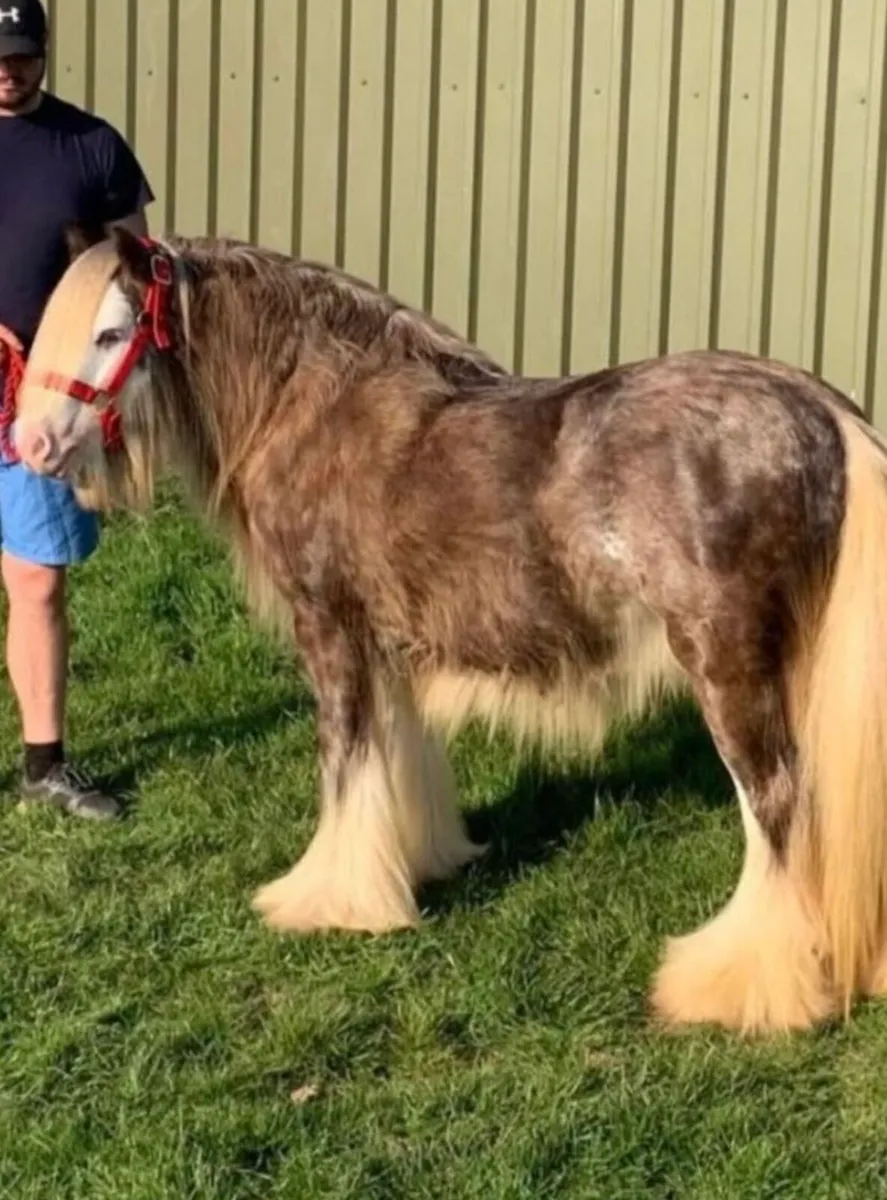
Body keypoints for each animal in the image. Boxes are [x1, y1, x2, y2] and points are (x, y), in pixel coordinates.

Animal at [10, 222, 887, 1038]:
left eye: (111, 334)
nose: (33, 444)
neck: (315, 406)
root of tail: (817, 410)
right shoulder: (386, 641)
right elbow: (396, 754)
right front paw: (416, 864)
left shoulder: (329, 628)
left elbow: (344, 761)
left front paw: (328, 900)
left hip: (724, 661)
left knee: (775, 806)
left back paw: (742, 985)